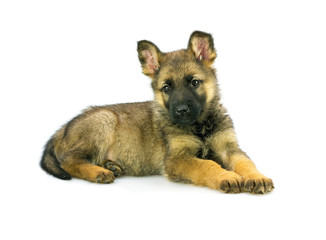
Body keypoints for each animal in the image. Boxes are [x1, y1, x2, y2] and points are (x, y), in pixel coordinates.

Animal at [41, 31, 276, 194]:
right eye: (166, 88)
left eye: (194, 82)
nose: (181, 111)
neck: (199, 125)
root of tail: (64, 127)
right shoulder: (178, 159)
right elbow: (207, 165)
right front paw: (227, 176)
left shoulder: (229, 148)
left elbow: (246, 162)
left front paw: (257, 177)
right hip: (103, 120)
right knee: (68, 160)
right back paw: (99, 171)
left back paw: (110, 165)